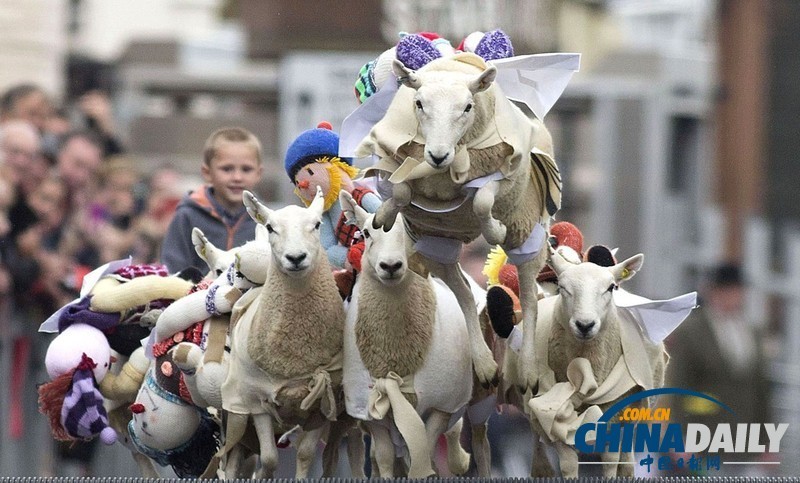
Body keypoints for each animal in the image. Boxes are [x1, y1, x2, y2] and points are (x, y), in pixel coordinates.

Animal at [340, 191, 476, 478]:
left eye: (411, 234)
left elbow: (424, 450)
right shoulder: (370, 411)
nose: (390, 266)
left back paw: (460, 461)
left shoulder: (440, 404)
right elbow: (383, 457)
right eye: (366, 233)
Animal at [360, 52, 560, 390]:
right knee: (465, 293)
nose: (438, 155)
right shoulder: (400, 166)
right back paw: (485, 366)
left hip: (526, 233)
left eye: (467, 106)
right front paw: (384, 216)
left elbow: (481, 202)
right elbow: (400, 190)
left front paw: (494, 230)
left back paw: (529, 371)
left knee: (530, 298)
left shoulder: (500, 175)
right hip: (437, 245)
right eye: (419, 103)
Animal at [500, 251, 668, 478]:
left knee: (625, 459)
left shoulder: (615, 418)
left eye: (611, 287)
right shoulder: (552, 419)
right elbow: (568, 463)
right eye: (562, 287)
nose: (585, 325)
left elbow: (610, 462)